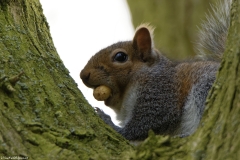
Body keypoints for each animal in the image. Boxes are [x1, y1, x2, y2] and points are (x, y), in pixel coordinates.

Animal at [79, 0, 232, 141]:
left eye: (120, 57)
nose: (83, 75)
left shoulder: (159, 92)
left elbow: (148, 122)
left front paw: (109, 122)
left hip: (204, 86)